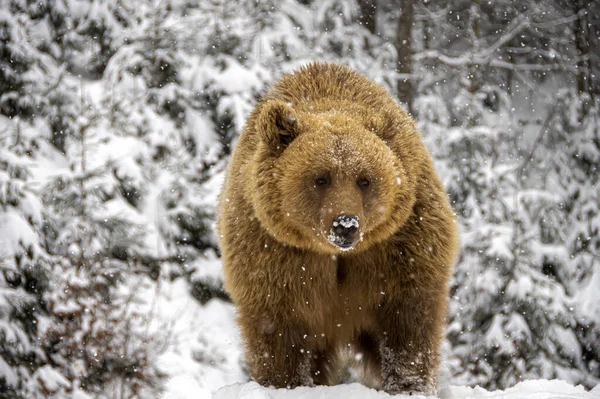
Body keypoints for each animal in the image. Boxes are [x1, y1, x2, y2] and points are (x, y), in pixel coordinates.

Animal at [218, 63, 458, 396]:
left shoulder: (399, 245)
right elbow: (277, 328)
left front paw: (409, 385)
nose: (346, 224)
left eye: (364, 179)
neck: (335, 256)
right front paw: (285, 383)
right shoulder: (275, 253)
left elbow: (408, 321)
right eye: (320, 178)